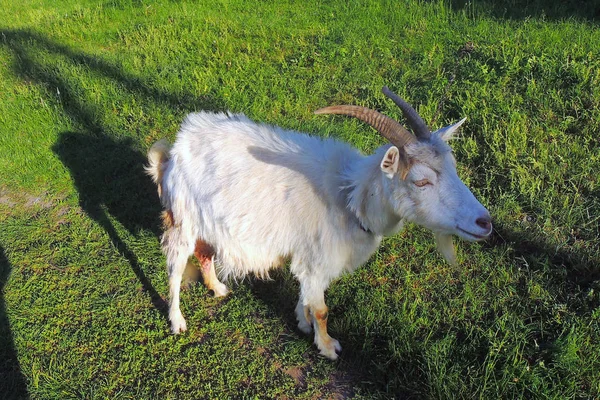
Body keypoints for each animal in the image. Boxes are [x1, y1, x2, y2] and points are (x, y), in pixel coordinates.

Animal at [146, 86, 492, 360]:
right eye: (421, 181)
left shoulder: (308, 255)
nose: (485, 222)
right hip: (183, 219)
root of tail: (174, 150)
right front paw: (327, 346)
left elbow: (308, 297)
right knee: (175, 268)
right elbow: (323, 309)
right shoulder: (318, 256)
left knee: (204, 252)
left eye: (453, 169)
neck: (348, 197)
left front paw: (302, 321)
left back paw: (217, 287)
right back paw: (177, 321)